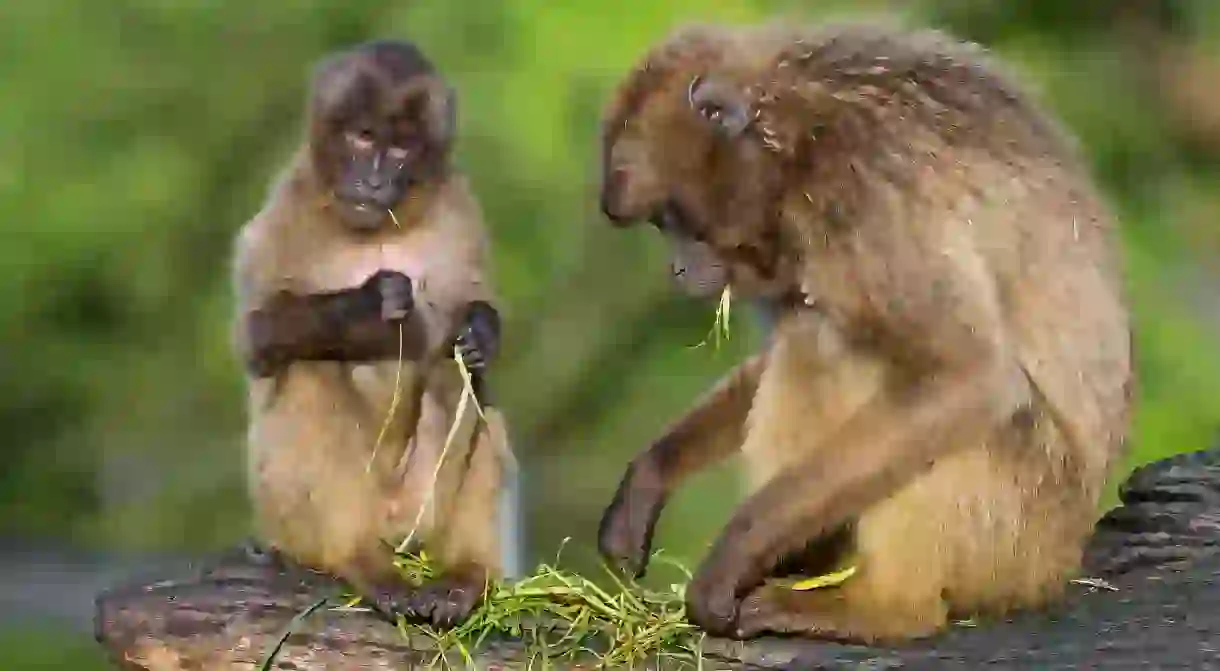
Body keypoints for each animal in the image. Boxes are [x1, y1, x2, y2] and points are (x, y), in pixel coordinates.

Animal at [230, 38, 512, 629]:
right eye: (363, 136)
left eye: (400, 147)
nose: (375, 178)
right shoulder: (290, 199)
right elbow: (259, 339)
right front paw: (366, 308)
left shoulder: (459, 204)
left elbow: (469, 332)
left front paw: (479, 328)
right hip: (292, 519)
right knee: (309, 368)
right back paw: (358, 558)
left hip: (417, 516)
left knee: (465, 378)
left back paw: (464, 573)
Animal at [590, 18, 1132, 644]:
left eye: (672, 221)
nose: (676, 270)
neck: (796, 140)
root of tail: (1063, 561)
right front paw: (652, 475)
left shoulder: (864, 190)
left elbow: (967, 378)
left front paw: (733, 552)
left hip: (1020, 534)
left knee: (829, 344)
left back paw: (886, 607)